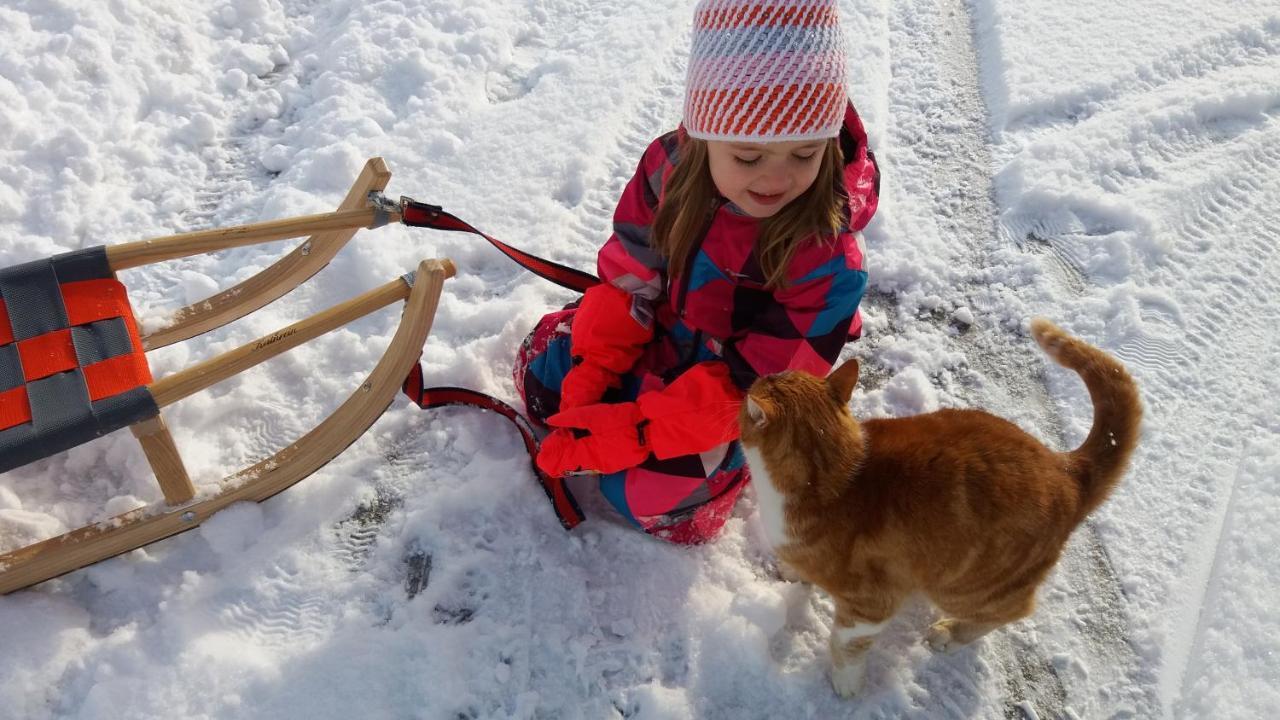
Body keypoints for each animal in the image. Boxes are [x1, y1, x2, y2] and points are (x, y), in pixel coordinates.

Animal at [737, 317, 1146, 696]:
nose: (757, 373)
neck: (836, 476)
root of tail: (1068, 470)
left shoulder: (871, 605)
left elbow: (846, 644)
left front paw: (846, 681)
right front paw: (795, 572)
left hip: (964, 585)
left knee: (1014, 609)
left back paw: (951, 633)